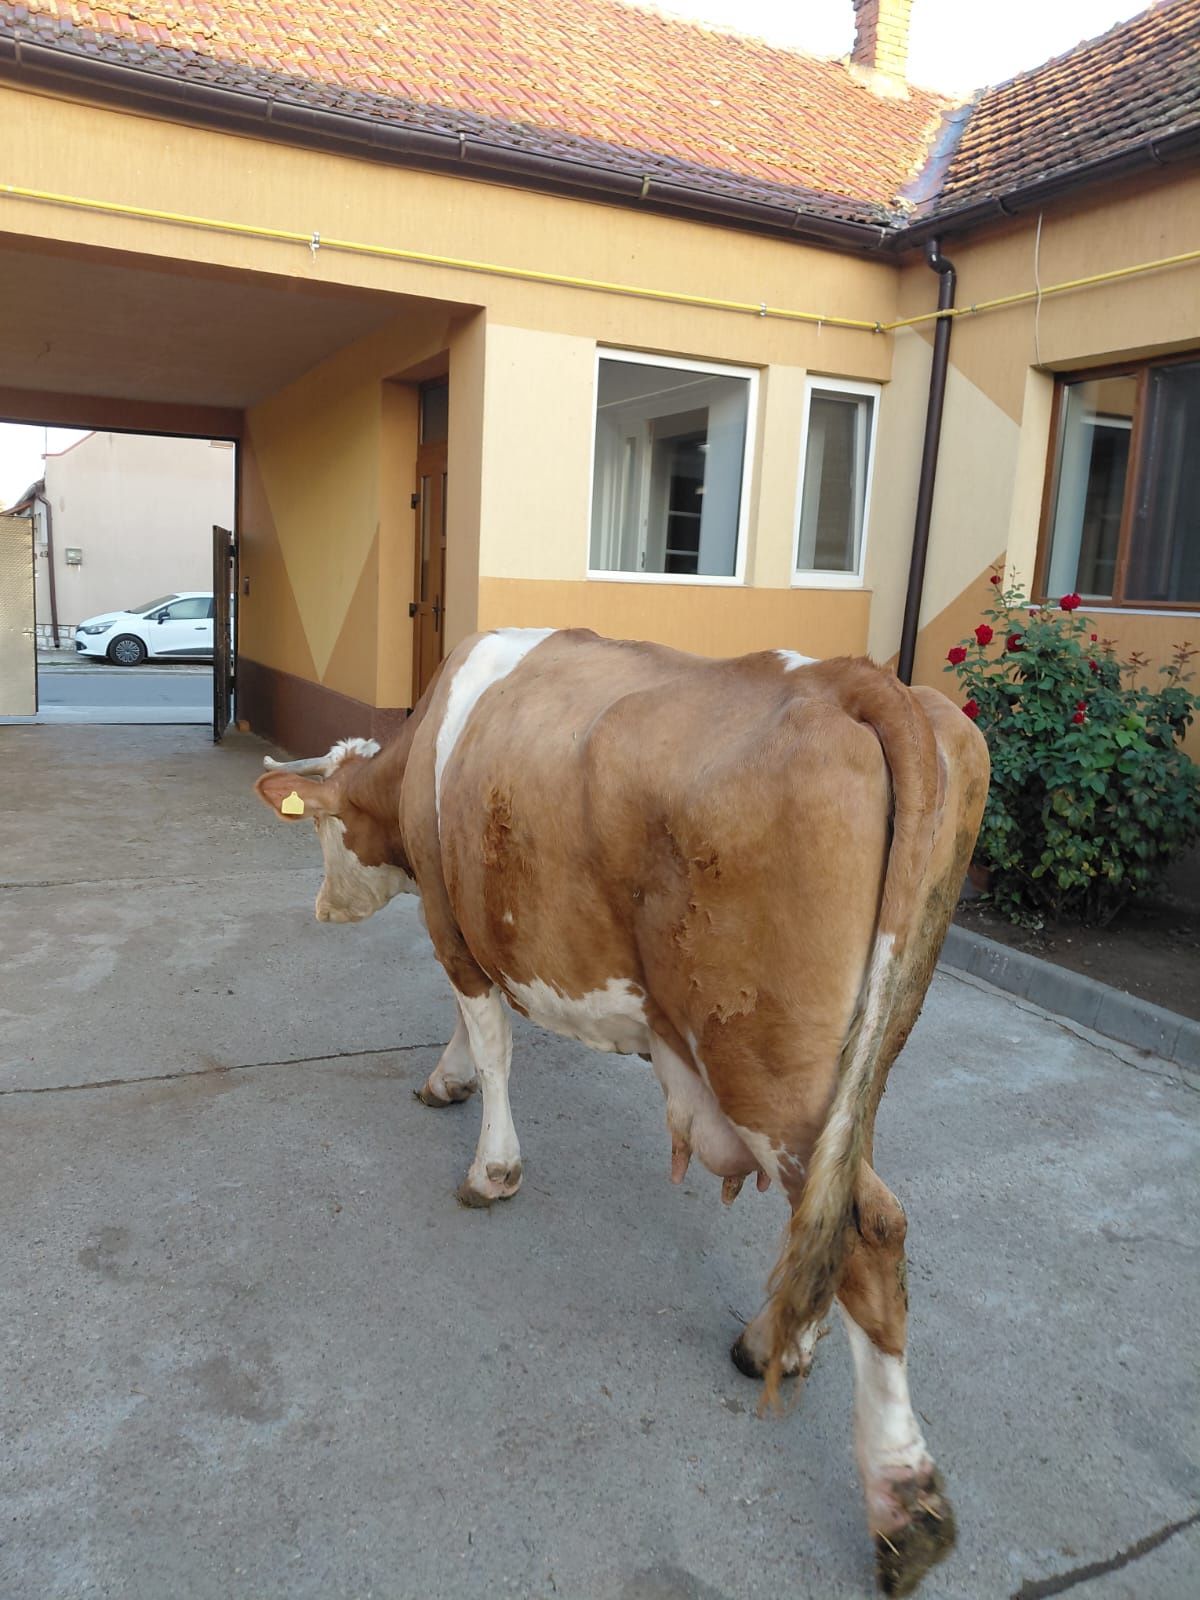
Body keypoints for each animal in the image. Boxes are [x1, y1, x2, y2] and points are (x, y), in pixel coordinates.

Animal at [255, 628, 989, 1596]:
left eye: (322, 830)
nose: (321, 907)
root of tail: (852, 681)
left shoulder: (455, 921)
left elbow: (489, 1033)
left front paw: (492, 1166)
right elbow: (470, 1026)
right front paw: (447, 1081)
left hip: (763, 1061)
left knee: (869, 1226)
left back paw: (904, 1504)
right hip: (869, 1040)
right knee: (833, 1201)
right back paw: (779, 1342)